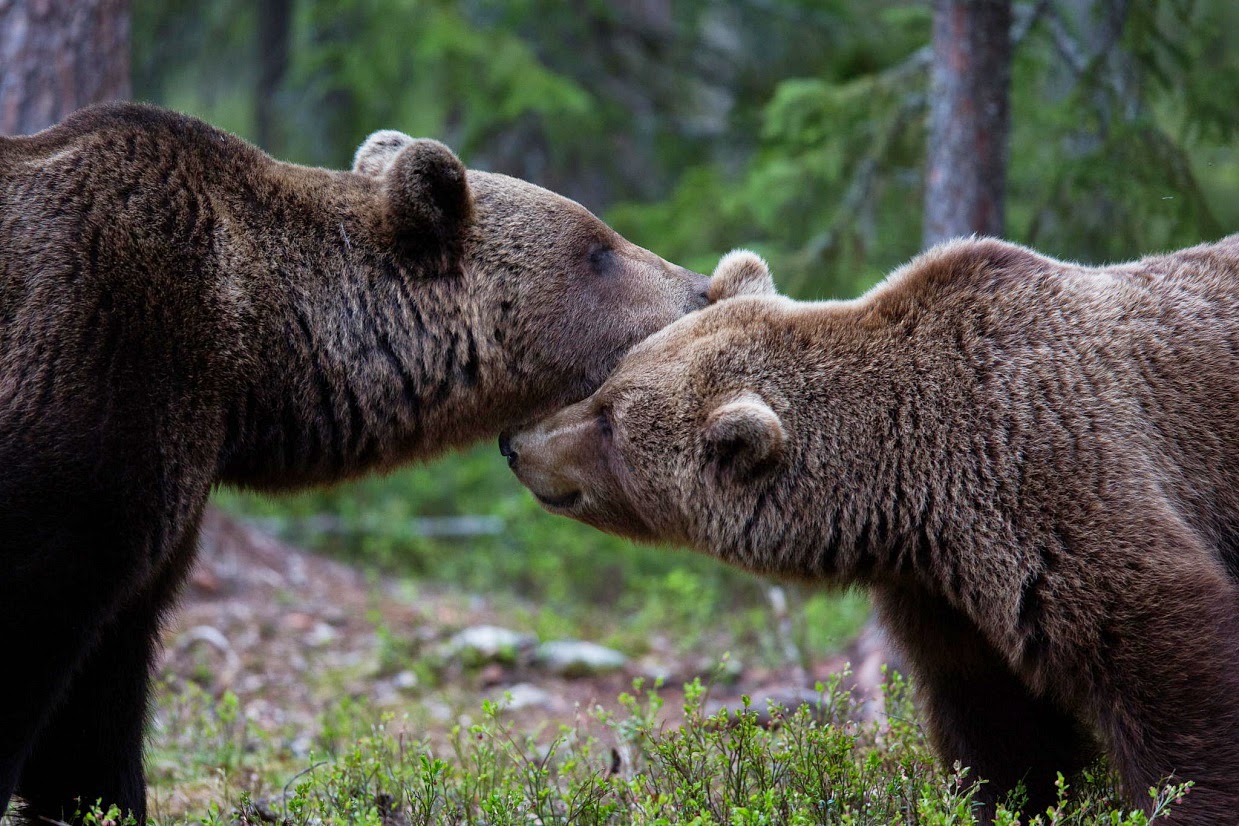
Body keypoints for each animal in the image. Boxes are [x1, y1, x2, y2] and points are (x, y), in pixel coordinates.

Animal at [0, 103, 708, 826]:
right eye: (599, 250)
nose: (704, 289)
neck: (251, 361)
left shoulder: (151, 504)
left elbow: (99, 702)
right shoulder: (96, 372)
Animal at [503, 239, 1239, 822]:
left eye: (608, 421)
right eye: (607, 380)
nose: (516, 443)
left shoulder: (1053, 477)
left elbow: (1170, 668)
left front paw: (1184, 803)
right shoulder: (945, 595)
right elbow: (1000, 724)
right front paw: (1007, 799)